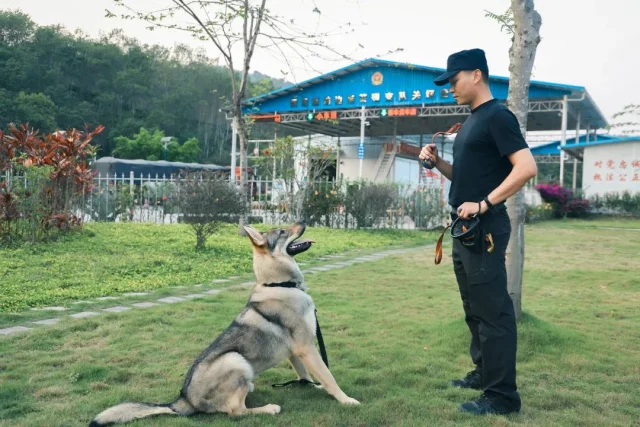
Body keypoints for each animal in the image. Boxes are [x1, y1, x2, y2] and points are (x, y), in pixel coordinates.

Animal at [90, 222, 360, 426]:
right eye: (283, 231)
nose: (304, 221)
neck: (279, 284)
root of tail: (183, 401)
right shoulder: (306, 347)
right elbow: (328, 376)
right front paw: (345, 400)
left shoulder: (295, 351)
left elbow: (307, 374)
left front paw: (312, 386)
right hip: (235, 359)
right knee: (235, 412)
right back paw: (268, 408)